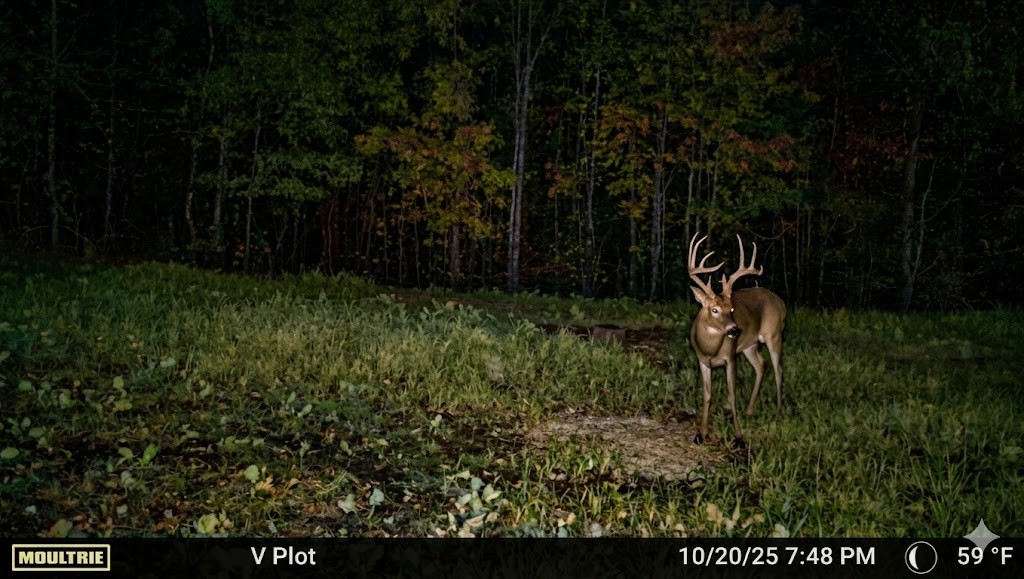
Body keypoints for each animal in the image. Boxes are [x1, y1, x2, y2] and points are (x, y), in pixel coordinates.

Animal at [687, 233, 786, 447]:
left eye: (731, 309)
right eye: (714, 309)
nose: (734, 330)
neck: (711, 349)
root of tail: (781, 302)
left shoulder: (730, 357)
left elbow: (731, 395)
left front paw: (739, 437)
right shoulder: (702, 361)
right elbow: (707, 395)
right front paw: (701, 434)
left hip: (774, 334)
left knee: (778, 369)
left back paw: (778, 413)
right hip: (750, 345)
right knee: (761, 365)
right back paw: (749, 410)